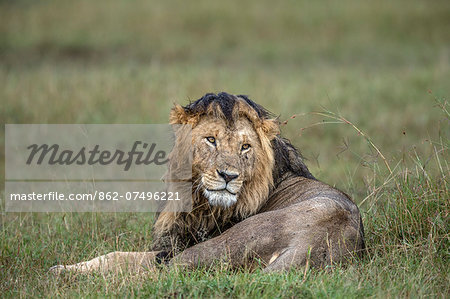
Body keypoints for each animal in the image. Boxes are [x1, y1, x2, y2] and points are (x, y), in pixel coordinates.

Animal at [50, 92, 366, 276]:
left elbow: (121, 255)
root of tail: (319, 240)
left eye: (245, 147)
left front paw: (67, 267)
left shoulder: (178, 246)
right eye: (211, 140)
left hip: (221, 244)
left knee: (154, 272)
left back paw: (66, 272)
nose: (228, 176)